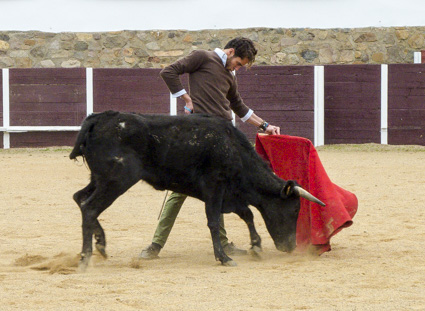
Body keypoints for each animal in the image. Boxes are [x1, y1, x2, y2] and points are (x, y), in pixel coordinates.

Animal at [69, 111, 322, 270]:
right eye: (294, 210)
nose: (290, 247)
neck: (233, 149)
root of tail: (98, 119)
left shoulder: (231, 194)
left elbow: (247, 214)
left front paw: (256, 246)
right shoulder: (215, 188)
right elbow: (214, 221)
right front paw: (224, 257)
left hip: (99, 179)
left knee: (80, 199)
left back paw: (100, 246)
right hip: (116, 181)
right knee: (90, 207)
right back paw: (86, 258)